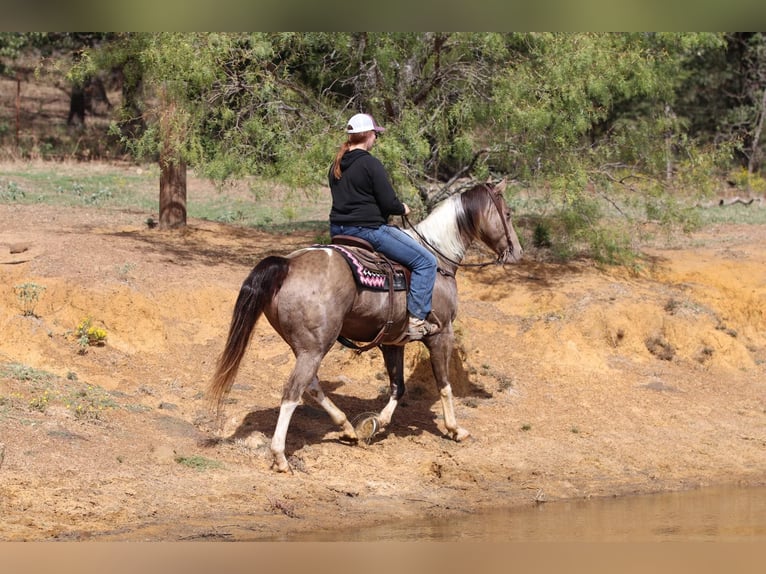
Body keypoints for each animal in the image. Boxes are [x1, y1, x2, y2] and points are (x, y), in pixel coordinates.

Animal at [207, 179, 524, 472]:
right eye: (508, 214)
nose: (517, 252)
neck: (437, 257)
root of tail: (286, 264)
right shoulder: (441, 334)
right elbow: (444, 385)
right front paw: (455, 429)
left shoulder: (392, 342)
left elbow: (398, 386)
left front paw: (377, 423)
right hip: (314, 349)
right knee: (292, 393)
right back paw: (281, 457)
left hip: (307, 347)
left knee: (312, 387)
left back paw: (347, 428)